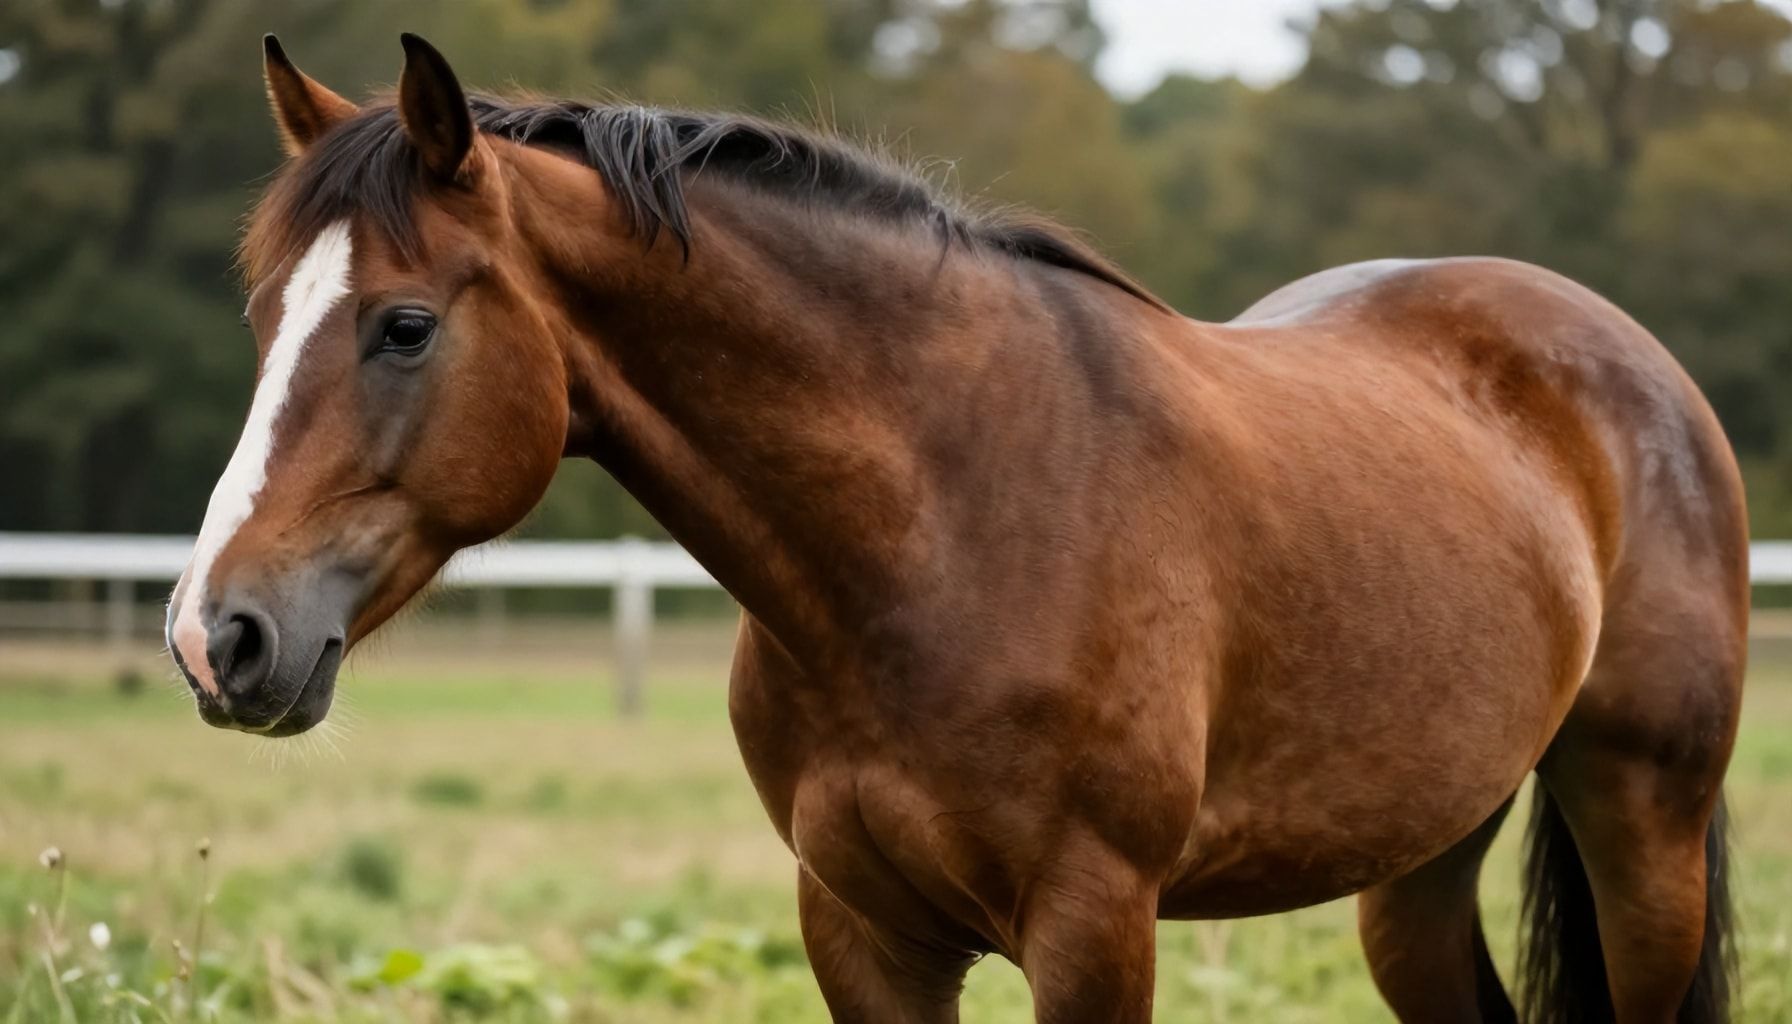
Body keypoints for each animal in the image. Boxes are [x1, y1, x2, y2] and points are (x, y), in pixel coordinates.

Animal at [165, 34, 1747, 1023]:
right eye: (262, 316)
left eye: (405, 325)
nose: (215, 636)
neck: (941, 527)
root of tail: (1634, 364)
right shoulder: (864, 934)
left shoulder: (1093, 928)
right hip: (1420, 859)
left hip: (1641, 824)